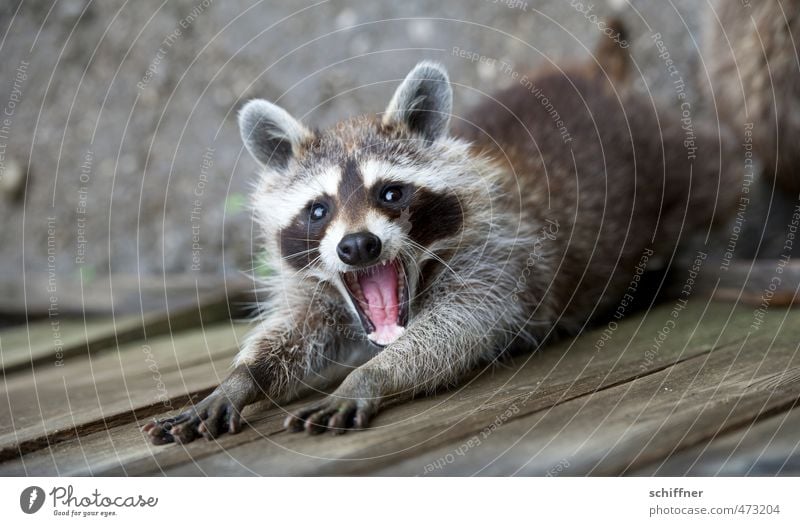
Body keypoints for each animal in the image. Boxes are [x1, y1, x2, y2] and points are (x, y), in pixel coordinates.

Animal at [145, 26, 736, 444]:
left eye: (391, 193)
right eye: (318, 209)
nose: (358, 247)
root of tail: (594, 77)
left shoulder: (497, 258)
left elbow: (460, 327)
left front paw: (372, 375)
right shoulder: (314, 284)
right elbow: (294, 332)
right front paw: (243, 377)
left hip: (670, 152)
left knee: (719, 176)